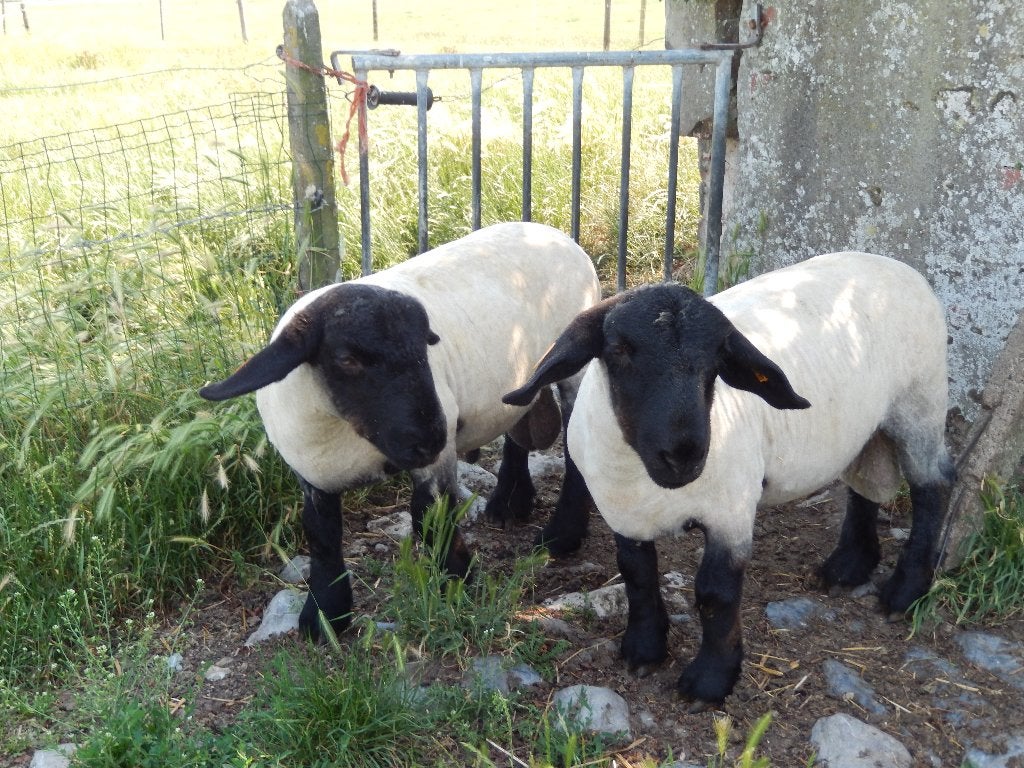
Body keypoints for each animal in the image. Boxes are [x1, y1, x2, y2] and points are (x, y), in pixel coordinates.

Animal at [200, 221, 601, 640]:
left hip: (572, 370)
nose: (431, 437)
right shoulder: (312, 475)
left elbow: (430, 517)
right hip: (516, 378)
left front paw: (457, 582)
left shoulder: (433, 460)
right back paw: (509, 504)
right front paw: (325, 617)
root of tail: (553, 233)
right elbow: (322, 536)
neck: (342, 432)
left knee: (575, 454)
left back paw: (562, 535)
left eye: (424, 348)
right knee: (515, 430)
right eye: (347, 359)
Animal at [504, 251, 955, 708]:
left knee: (934, 485)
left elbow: (715, 594)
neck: (646, 481)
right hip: (866, 425)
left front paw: (710, 680)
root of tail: (894, 263)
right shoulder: (625, 514)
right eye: (619, 349)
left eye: (719, 358)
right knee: (867, 480)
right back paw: (848, 567)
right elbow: (636, 574)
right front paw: (644, 649)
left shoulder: (731, 511)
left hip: (920, 402)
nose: (684, 454)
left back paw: (905, 590)